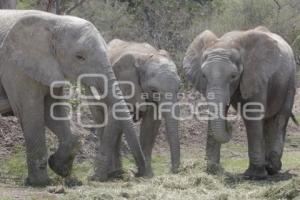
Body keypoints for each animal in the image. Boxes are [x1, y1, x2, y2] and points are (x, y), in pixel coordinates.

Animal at [0, 10, 146, 186]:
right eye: (80, 57)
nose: (139, 174)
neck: (54, 20)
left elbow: (52, 111)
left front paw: (59, 168)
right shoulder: (14, 66)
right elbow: (31, 113)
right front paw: (39, 183)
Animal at [90, 38, 180, 180]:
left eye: (179, 88)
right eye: (154, 90)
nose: (173, 171)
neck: (145, 57)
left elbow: (150, 124)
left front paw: (147, 176)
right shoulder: (123, 82)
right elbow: (114, 119)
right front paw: (99, 178)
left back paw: (118, 173)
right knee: (101, 122)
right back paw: (113, 174)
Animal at [184, 26, 296, 180]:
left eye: (233, 76)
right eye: (204, 76)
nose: (230, 125)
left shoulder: (255, 75)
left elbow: (252, 116)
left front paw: (255, 175)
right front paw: (212, 170)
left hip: (290, 81)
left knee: (280, 119)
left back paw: (272, 168)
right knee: (268, 121)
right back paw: (269, 166)